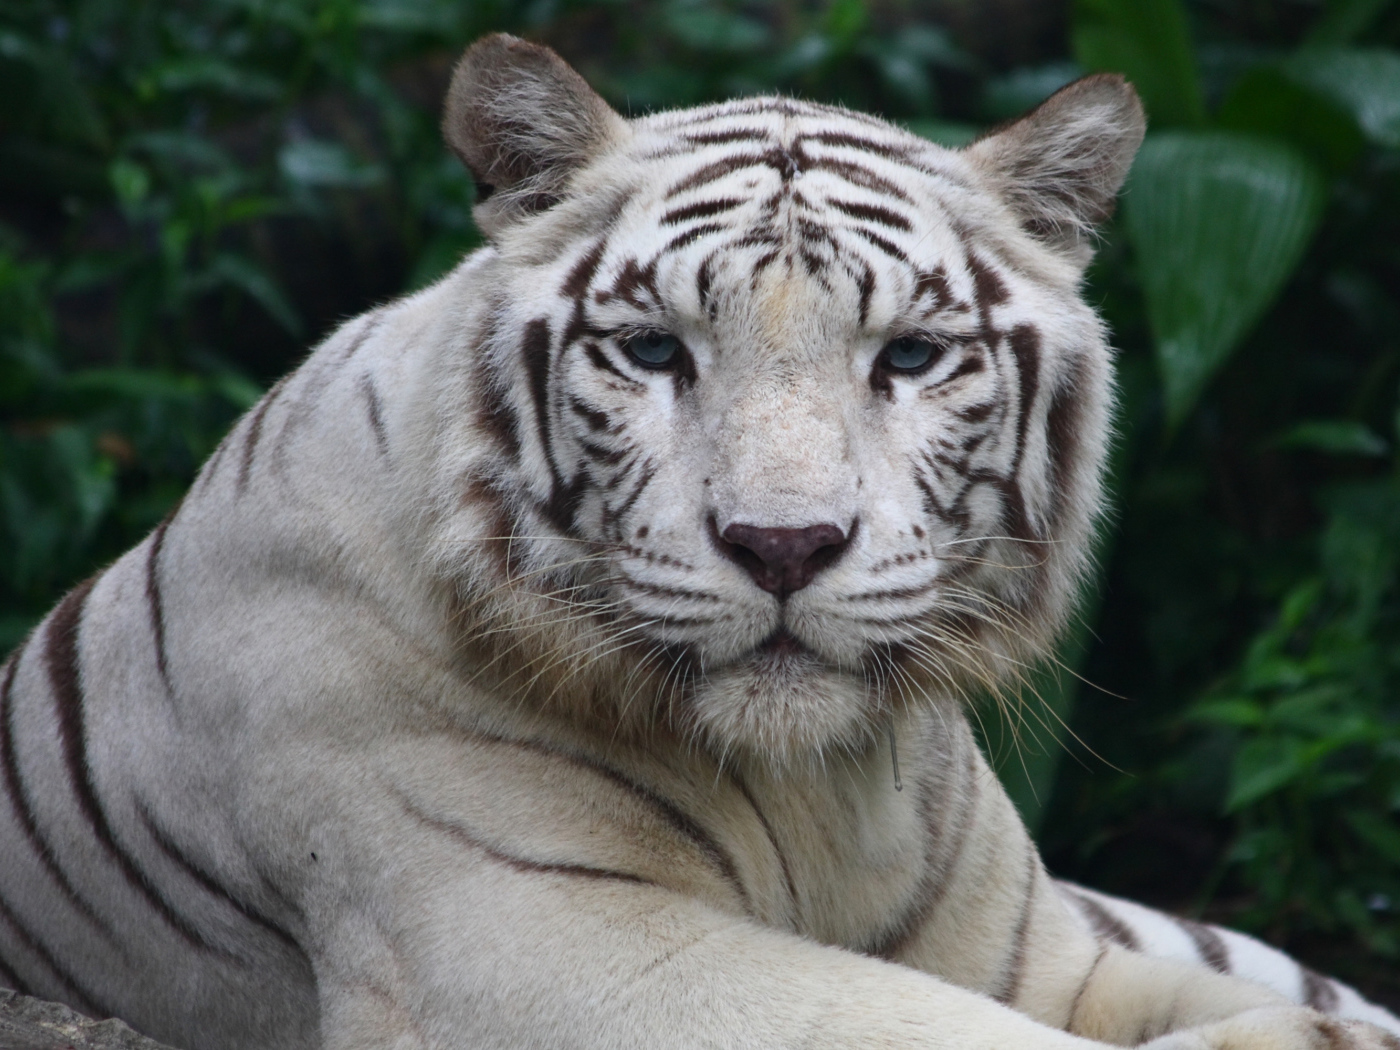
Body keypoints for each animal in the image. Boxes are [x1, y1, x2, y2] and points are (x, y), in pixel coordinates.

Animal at [0, 31, 1396, 1050]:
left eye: (909, 356)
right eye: (653, 350)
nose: (782, 546)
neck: (822, 788)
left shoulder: (1041, 956)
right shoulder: (535, 945)